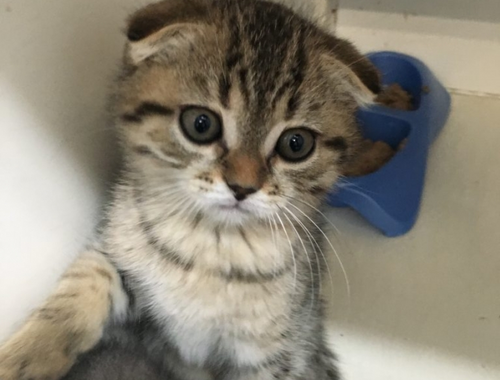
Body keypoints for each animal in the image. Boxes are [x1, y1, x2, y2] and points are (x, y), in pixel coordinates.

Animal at [0, 0, 378, 380]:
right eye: (200, 124)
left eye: (296, 144)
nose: (242, 187)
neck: (211, 246)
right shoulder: (119, 253)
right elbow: (86, 283)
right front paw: (24, 355)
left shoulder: (278, 353)